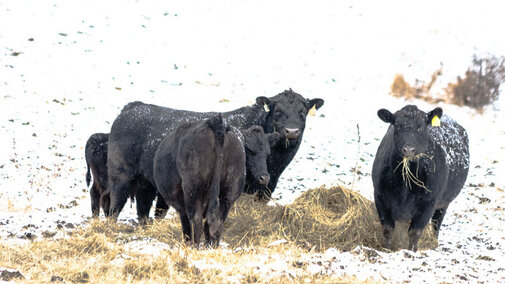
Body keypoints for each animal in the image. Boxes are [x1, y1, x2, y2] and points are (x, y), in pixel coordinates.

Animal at [108, 89, 324, 220]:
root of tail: (133, 107)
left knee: (143, 210)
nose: (291, 131)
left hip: (147, 182)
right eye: (277, 111)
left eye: (303, 112)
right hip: (121, 175)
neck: (274, 165)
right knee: (114, 206)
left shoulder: (265, 189)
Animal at [154, 116, 278, 247]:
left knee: (196, 220)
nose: (265, 177)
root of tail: (216, 121)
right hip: (229, 190)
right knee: (216, 222)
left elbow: (187, 227)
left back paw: (195, 247)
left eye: (267, 154)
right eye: (249, 151)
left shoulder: (181, 205)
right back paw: (213, 246)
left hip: (192, 189)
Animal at [370, 105, 468, 251]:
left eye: (421, 126)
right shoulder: (380, 196)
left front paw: (411, 252)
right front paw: (386, 249)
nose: (409, 149)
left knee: (436, 225)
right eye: (397, 125)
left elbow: (415, 232)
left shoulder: (428, 202)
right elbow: (387, 230)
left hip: (443, 204)